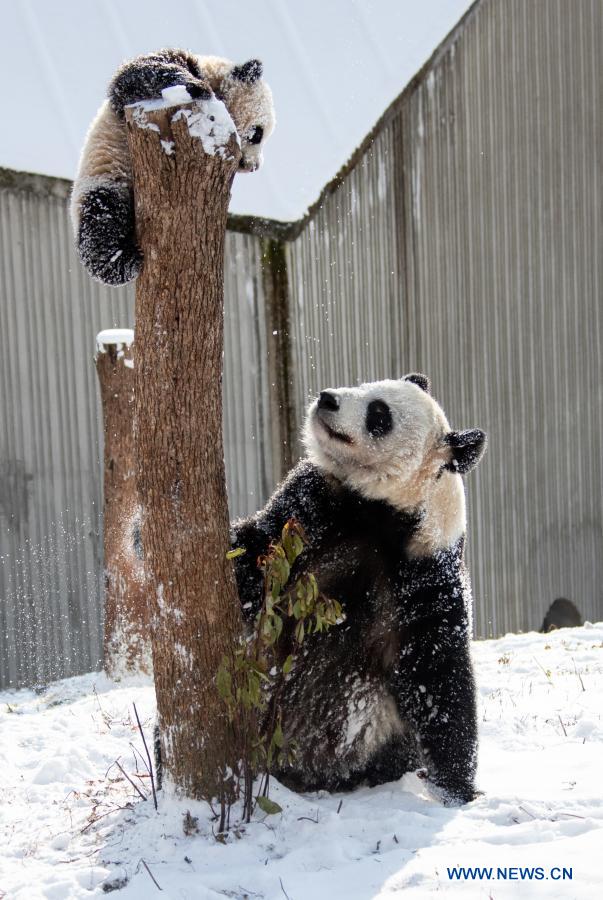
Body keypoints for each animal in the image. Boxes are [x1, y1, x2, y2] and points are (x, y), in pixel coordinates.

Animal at [71, 48, 276, 284]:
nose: (254, 166)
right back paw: (124, 261)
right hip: (102, 179)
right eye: (258, 133)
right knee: (101, 221)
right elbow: (136, 75)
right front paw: (196, 87)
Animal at [234, 372, 488, 808]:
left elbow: (437, 675)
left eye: (379, 414)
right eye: (366, 384)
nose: (327, 398)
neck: (379, 510)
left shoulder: (424, 572)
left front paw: (456, 790)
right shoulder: (312, 505)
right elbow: (255, 552)